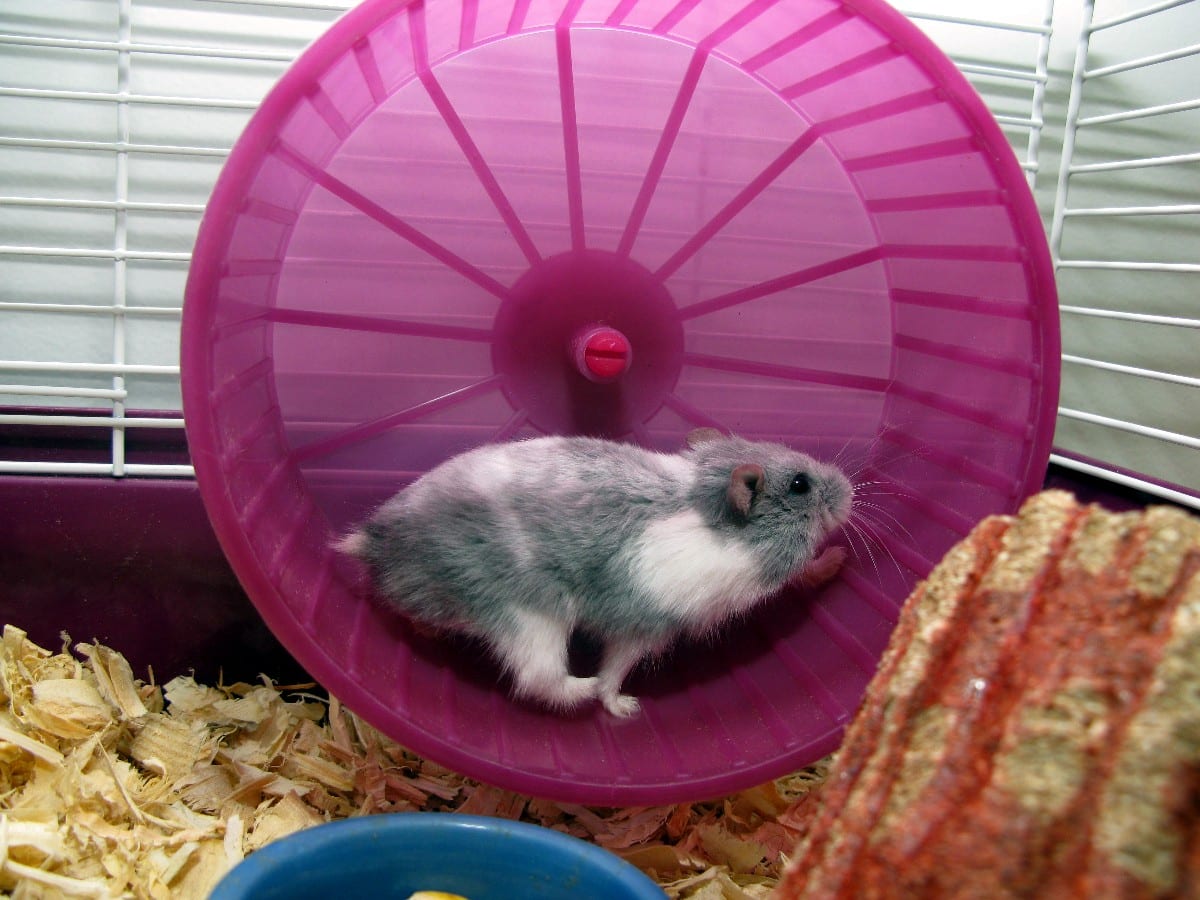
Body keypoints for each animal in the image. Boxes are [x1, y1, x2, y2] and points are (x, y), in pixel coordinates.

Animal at [337, 428, 853, 717]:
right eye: (800, 484)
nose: (850, 489)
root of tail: (373, 541)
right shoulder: (644, 629)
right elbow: (614, 671)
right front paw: (625, 707)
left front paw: (838, 559)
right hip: (529, 621)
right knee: (538, 679)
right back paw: (585, 689)